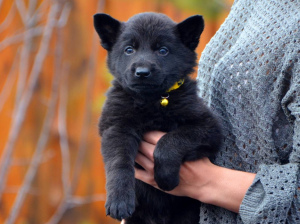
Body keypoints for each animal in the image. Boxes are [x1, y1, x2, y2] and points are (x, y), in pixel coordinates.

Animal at [94, 12, 223, 224]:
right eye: (129, 50)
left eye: (163, 50)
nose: (142, 73)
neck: (153, 101)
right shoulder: (116, 126)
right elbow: (119, 162)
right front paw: (119, 201)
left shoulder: (208, 127)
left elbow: (170, 141)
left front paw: (165, 177)